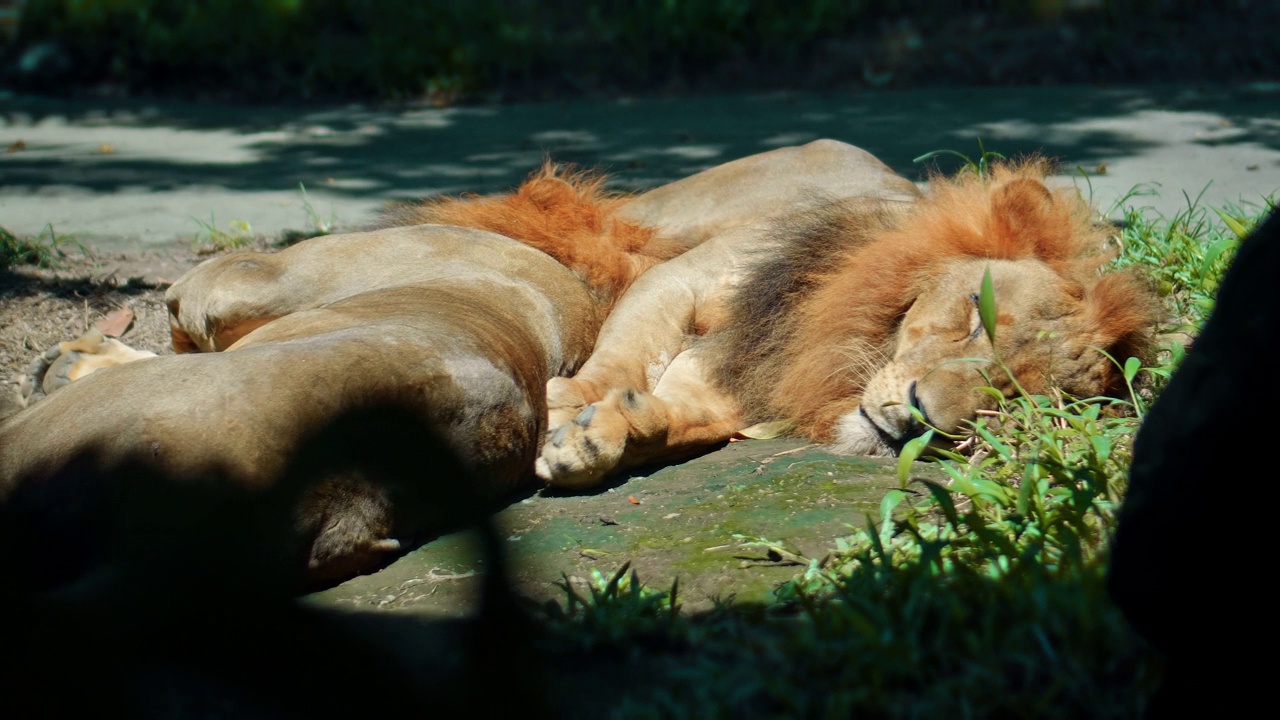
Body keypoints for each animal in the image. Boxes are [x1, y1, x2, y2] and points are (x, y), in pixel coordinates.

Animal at [535, 157, 1167, 486]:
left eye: (1017, 399)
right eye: (973, 317)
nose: (920, 422)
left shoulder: (749, 381)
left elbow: (679, 420)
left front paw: (601, 436)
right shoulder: (681, 280)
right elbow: (624, 354)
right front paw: (567, 402)